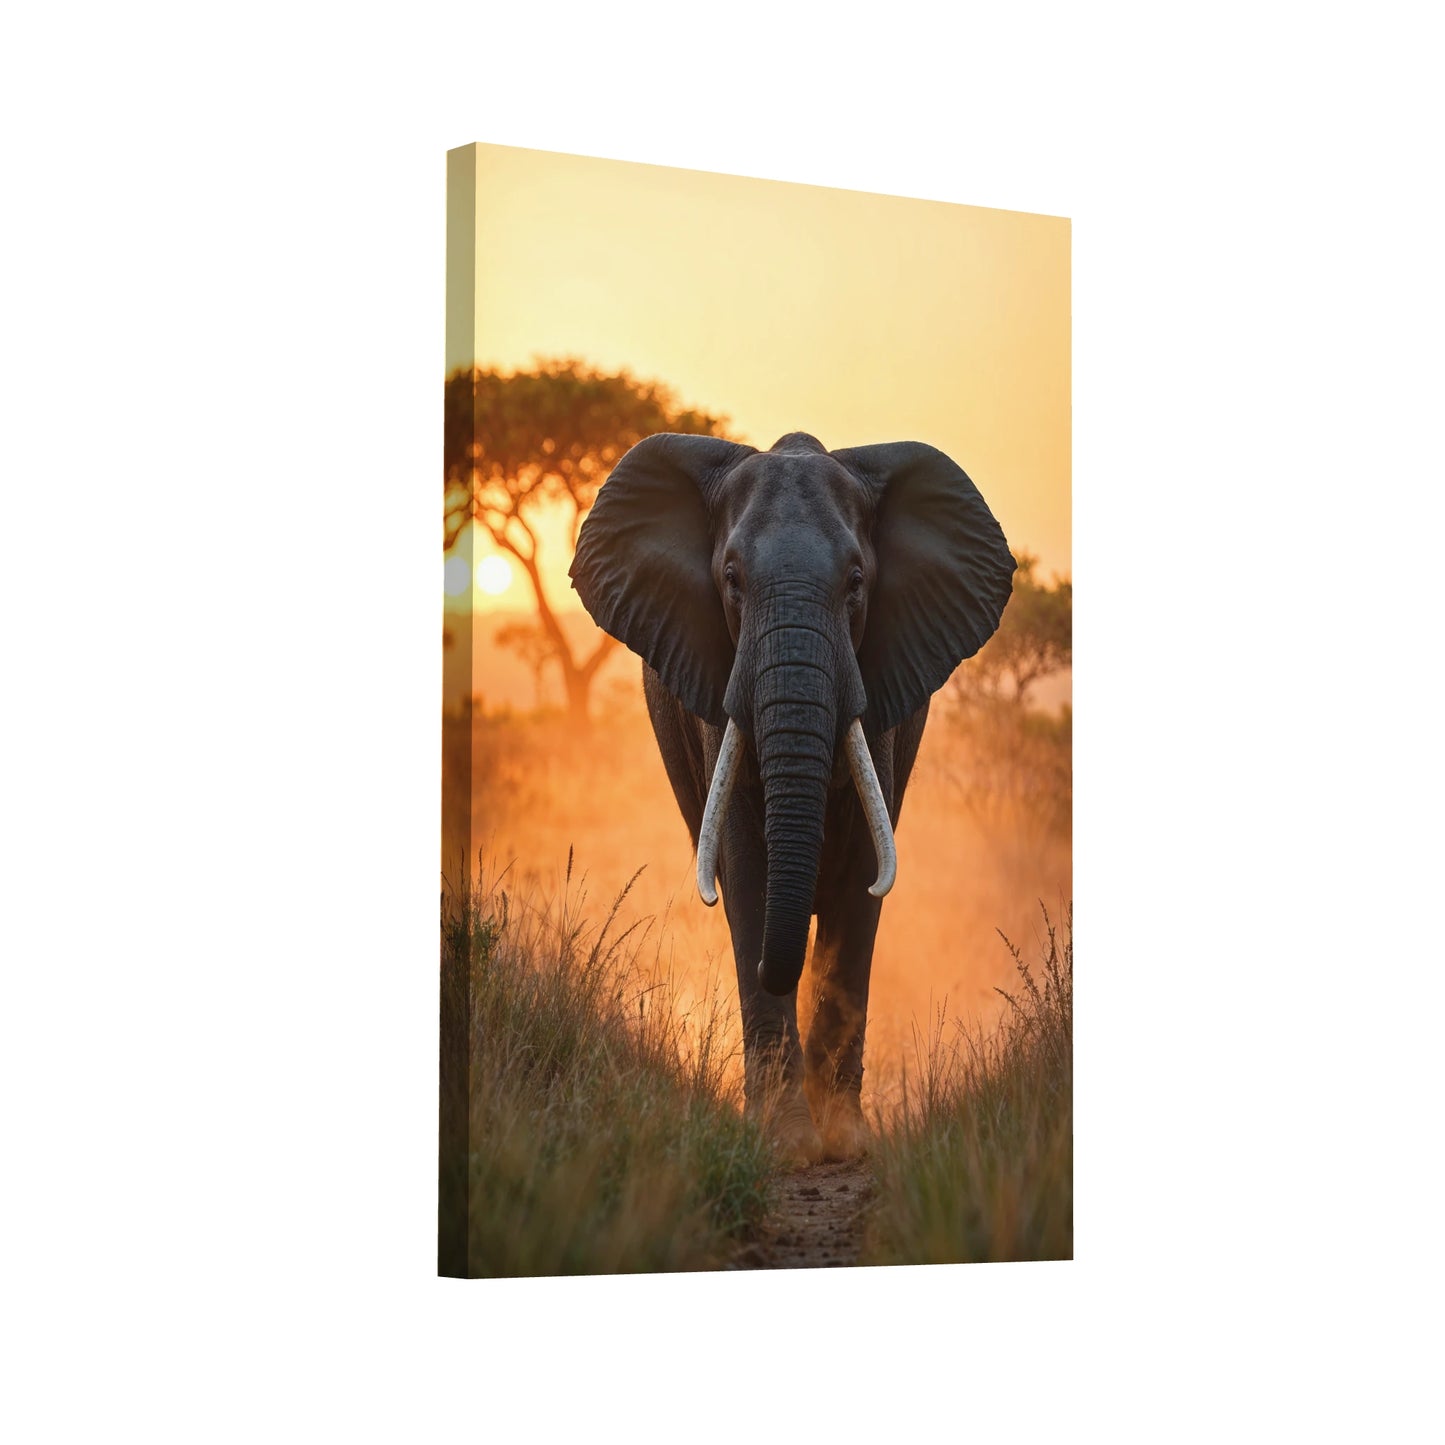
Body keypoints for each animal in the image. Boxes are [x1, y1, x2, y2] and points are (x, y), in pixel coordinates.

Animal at [569, 430, 1015, 1163]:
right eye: (730, 579)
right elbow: (748, 872)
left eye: (856, 582)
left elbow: (862, 878)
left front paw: (845, 1143)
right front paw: (784, 1145)